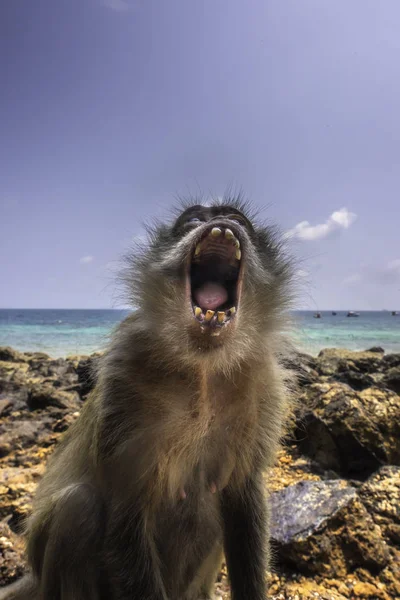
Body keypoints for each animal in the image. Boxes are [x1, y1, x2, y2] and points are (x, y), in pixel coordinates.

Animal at [0, 198, 294, 600]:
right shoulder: (124, 383)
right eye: (193, 219)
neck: (202, 368)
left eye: (237, 219)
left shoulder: (263, 386)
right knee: (78, 508)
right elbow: (126, 512)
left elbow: (242, 495)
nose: (220, 221)